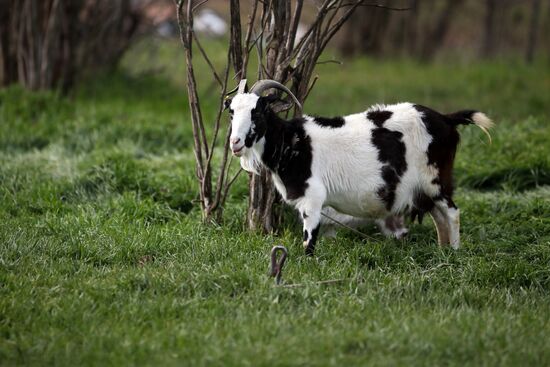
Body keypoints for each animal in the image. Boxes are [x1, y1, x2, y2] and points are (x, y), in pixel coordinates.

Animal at [225, 80, 496, 256]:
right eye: (232, 112)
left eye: (258, 111)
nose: (235, 142)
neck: (292, 141)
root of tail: (446, 119)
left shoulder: (313, 198)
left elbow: (309, 241)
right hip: (425, 190)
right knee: (439, 216)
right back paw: (443, 251)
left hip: (435, 180)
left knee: (451, 213)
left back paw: (455, 253)